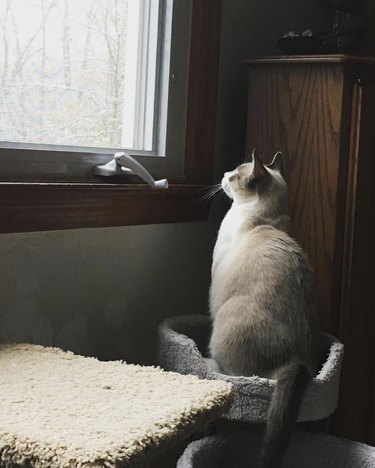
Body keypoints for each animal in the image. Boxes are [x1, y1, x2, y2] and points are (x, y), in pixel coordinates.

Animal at [209, 150, 320, 468]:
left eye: (235, 174)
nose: (223, 174)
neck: (262, 220)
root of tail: (298, 360)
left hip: (224, 323)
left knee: (236, 373)